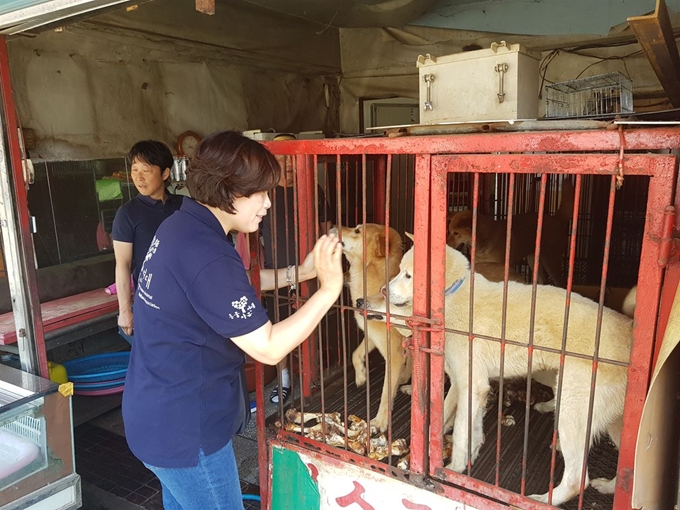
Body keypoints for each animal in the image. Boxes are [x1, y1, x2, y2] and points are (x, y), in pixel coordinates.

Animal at [328, 223, 410, 430]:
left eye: (357, 231)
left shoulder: (394, 353)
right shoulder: (372, 336)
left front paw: (380, 422)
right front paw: (361, 376)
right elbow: (355, 354)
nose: (332, 225)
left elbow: (386, 393)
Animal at [364, 235, 636, 506]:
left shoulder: (472, 384)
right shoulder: (471, 386)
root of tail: (630, 334)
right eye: (399, 270)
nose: (384, 290)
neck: (452, 295)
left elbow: (460, 431)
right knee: (627, 475)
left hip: (572, 407)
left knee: (576, 479)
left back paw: (541, 499)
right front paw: (466, 458)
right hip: (609, 420)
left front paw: (453, 469)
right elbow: (469, 429)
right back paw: (608, 486)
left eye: (408, 276)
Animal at [448, 179, 576, 286]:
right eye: (449, 231)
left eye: (456, 233)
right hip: (533, 260)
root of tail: (556, 218)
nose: (447, 245)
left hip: (551, 261)